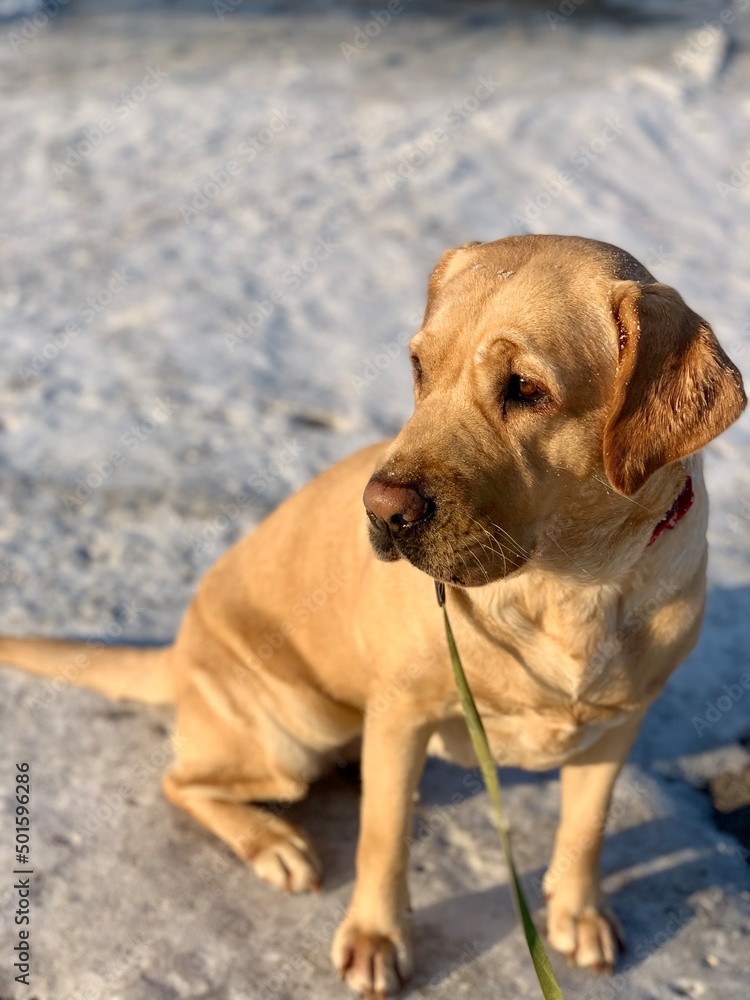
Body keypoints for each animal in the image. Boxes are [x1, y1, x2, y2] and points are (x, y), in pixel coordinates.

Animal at [2, 234, 748, 992]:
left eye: (526, 389)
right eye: (419, 367)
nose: (382, 509)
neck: (568, 587)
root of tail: (180, 653)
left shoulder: (619, 724)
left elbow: (587, 826)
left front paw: (579, 912)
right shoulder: (401, 712)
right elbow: (381, 839)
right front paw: (375, 937)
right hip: (292, 730)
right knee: (181, 781)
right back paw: (273, 842)